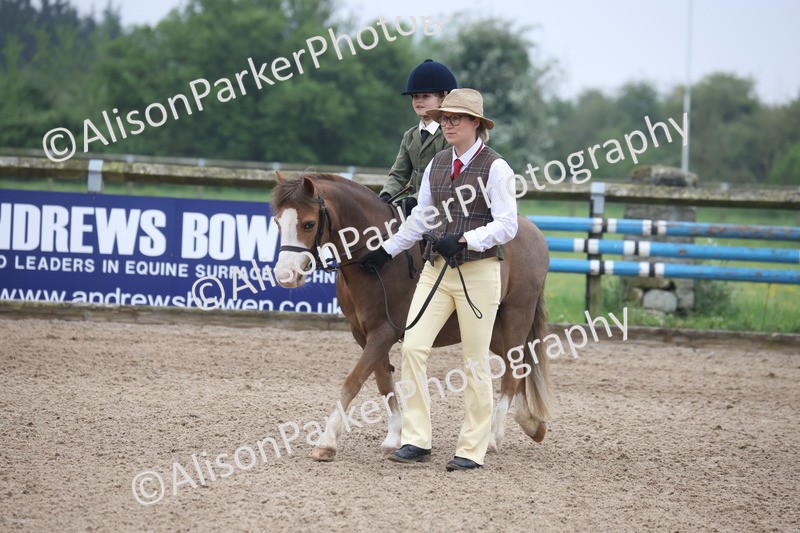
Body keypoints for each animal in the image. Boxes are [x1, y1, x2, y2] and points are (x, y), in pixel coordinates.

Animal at [270, 172, 553, 462]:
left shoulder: (384, 331)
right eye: (278, 222)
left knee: (514, 369)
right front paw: (395, 437)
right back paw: (531, 424)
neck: (377, 258)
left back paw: (495, 437)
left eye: (308, 223)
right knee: (520, 365)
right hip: (493, 330)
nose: (285, 275)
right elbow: (383, 382)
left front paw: (327, 442)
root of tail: (532, 230)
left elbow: (354, 381)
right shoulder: (363, 333)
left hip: (515, 316)